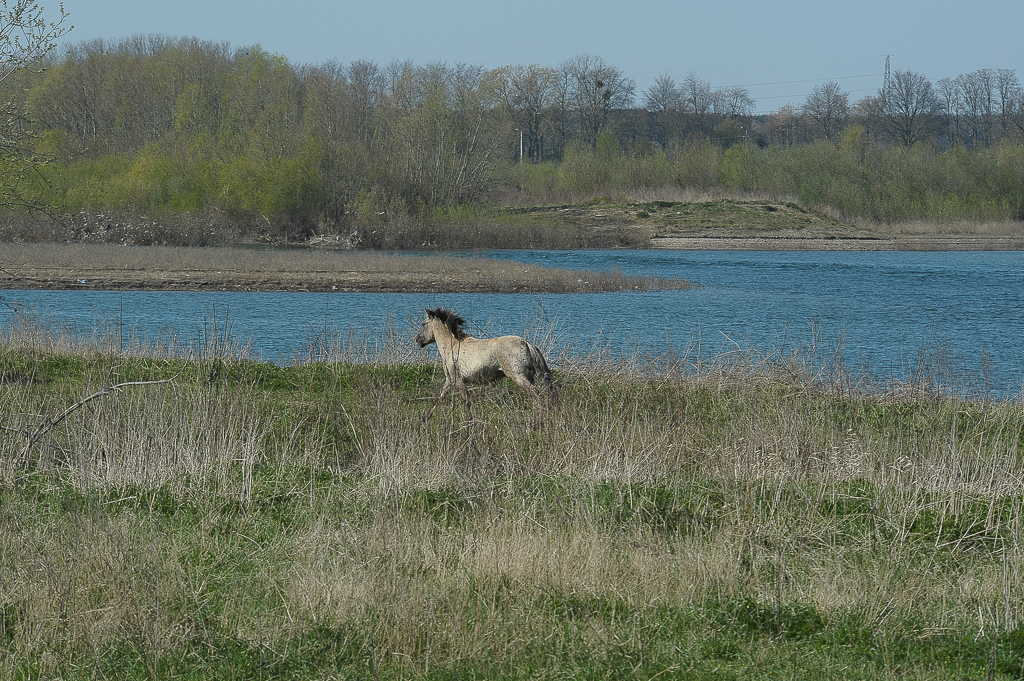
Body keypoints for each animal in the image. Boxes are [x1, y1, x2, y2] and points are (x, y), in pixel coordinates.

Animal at [413, 307, 557, 419]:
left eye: (424, 324)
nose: (417, 340)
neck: (452, 345)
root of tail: (526, 342)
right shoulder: (449, 381)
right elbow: (438, 399)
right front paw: (425, 419)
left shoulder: (457, 380)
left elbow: (467, 400)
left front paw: (473, 423)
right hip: (529, 375)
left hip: (517, 375)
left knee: (534, 393)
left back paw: (538, 422)